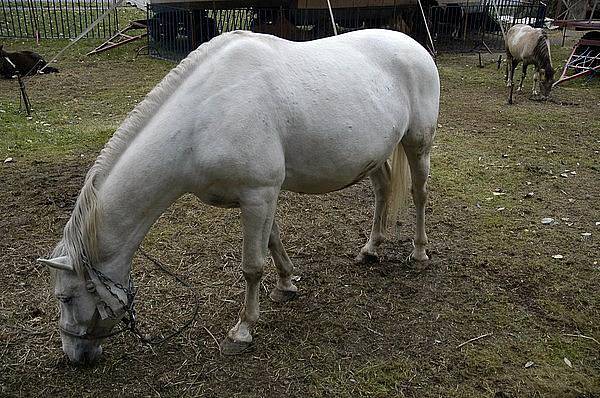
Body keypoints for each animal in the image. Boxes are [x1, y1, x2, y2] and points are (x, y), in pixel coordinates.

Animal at [38, 28, 440, 364]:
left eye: (66, 297)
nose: (75, 357)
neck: (201, 119)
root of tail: (414, 45)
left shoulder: (258, 194)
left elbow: (252, 266)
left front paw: (242, 331)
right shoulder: (261, 196)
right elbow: (273, 243)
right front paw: (286, 285)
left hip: (417, 143)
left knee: (419, 194)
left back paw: (420, 253)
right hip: (375, 154)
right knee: (383, 189)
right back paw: (370, 249)